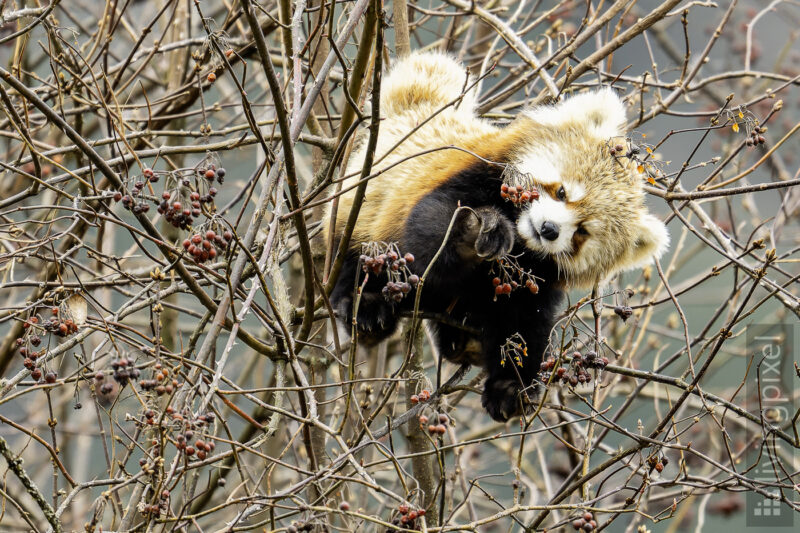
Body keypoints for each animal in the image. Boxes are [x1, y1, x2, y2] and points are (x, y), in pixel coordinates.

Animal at [326, 51, 669, 422]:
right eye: (562, 192)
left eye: (582, 232)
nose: (549, 230)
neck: (520, 237)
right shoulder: (470, 176)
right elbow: (430, 228)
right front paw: (474, 233)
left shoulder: (536, 279)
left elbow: (523, 323)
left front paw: (510, 387)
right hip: (361, 208)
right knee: (355, 253)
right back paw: (366, 306)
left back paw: (463, 342)